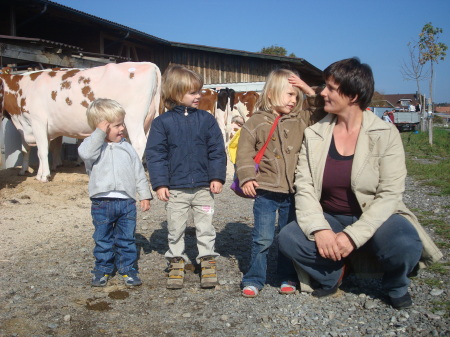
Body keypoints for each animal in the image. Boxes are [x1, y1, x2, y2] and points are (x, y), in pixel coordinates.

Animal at [0, 60, 162, 181]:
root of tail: (149, 64)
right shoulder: (27, 126)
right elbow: (27, 149)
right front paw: (27, 171)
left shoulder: (38, 121)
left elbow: (42, 150)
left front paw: (43, 176)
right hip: (149, 120)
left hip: (133, 119)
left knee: (139, 143)